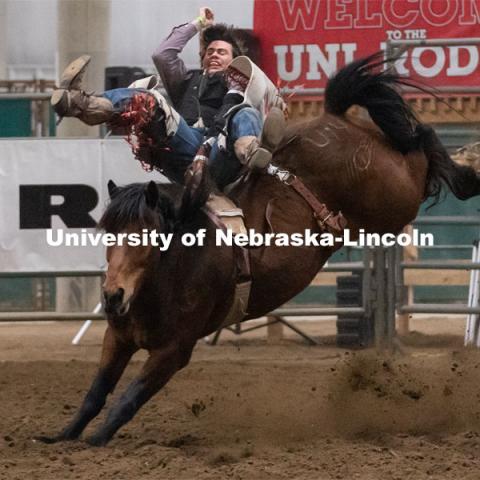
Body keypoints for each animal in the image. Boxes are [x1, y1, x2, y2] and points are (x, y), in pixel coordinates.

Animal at [38, 53, 480, 446]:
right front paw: (61, 436)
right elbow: (96, 393)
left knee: (422, 149)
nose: (112, 296)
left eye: (146, 237)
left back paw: (467, 162)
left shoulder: (173, 351)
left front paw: (96, 440)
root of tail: (335, 120)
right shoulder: (118, 337)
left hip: (395, 197)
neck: (171, 268)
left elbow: (127, 400)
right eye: (108, 235)